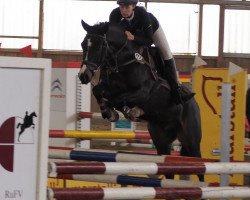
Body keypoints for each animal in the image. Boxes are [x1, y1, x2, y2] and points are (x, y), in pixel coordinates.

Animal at [79, 20, 203, 181]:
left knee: (200, 167)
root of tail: (195, 105)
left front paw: (127, 111)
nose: (83, 76)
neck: (124, 62)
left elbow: (118, 99)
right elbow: (99, 91)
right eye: (83, 45)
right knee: (169, 167)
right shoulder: (108, 86)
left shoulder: (143, 92)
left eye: (99, 46)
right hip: (161, 140)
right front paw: (109, 111)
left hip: (191, 140)